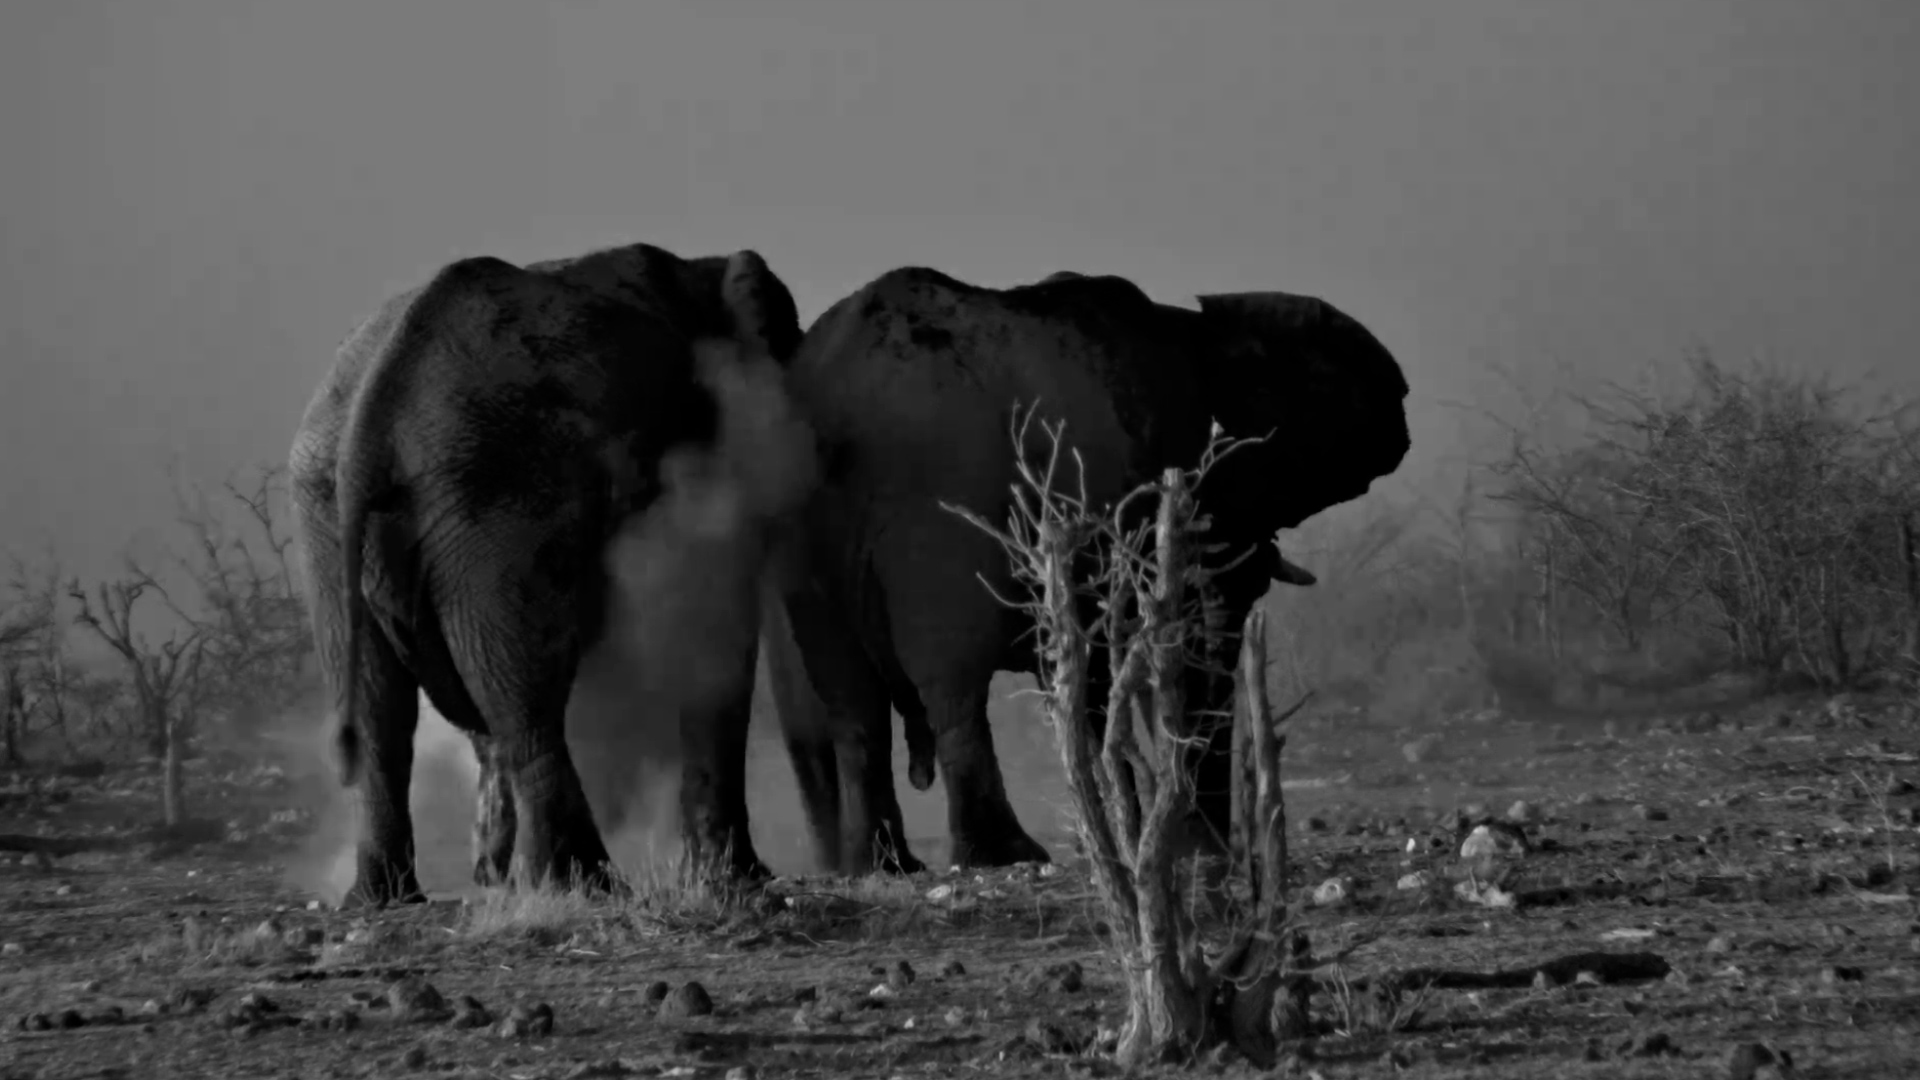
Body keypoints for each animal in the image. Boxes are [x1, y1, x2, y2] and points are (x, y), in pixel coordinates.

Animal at [288, 241, 805, 906]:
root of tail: (365, 428)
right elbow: (714, 631)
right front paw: (740, 879)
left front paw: (496, 880)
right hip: (499, 502)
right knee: (523, 691)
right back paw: (582, 884)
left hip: (330, 514)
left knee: (386, 711)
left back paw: (392, 897)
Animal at [761, 266, 1410, 874]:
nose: (1215, 845)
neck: (1207, 333)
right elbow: (1171, 647)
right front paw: (1182, 848)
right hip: (937, 512)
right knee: (951, 682)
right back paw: (1003, 856)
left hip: (803, 527)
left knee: (850, 699)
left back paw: (884, 865)